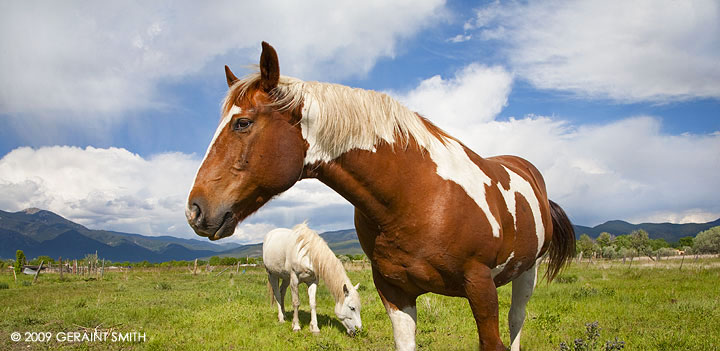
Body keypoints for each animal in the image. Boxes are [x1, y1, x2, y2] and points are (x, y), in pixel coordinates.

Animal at [186, 42, 572, 351]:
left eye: (243, 123)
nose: (195, 210)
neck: (418, 195)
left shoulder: (481, 290)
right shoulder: (395, 293)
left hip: (527, 271)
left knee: (516, 320)